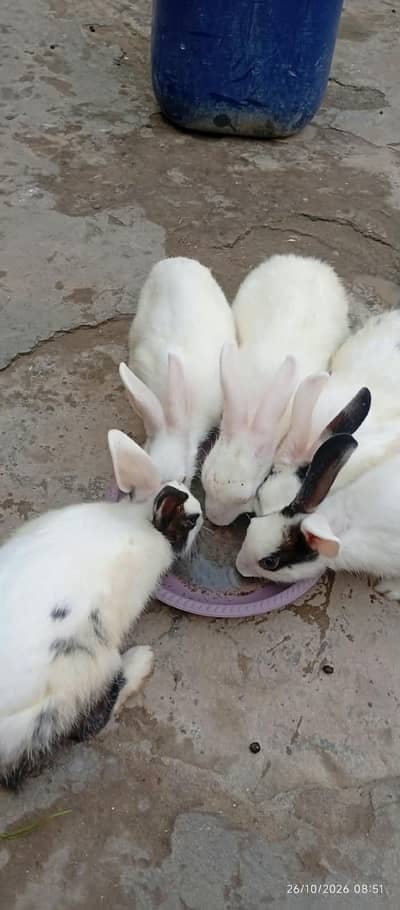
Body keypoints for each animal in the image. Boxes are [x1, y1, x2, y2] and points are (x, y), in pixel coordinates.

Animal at [0, 430, 202, 789]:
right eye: (190, 520)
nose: (203, 517)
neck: (139, 519)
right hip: (86, 669)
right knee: (87, 727)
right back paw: (141, 660)